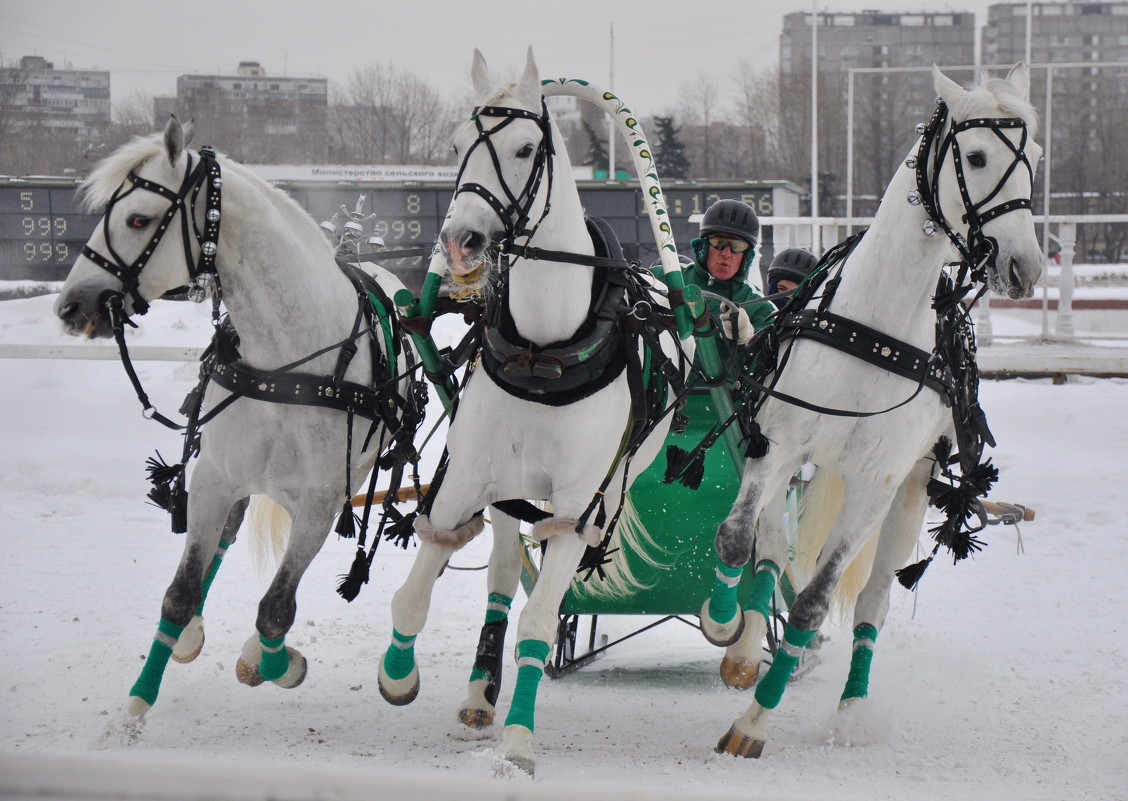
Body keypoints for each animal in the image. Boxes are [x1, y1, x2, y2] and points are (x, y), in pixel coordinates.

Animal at [54, 116, 421, 735]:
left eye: (137, 219)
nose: (70, 306)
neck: (285, 367)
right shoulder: (213, 481)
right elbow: (179, 593)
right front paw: (137, 702)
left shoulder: (320, 503)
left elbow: (275, 611)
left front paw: (276, 663)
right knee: (222, 538)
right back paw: (189, 636)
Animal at [376, 50, 685, 776]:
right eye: (454, 146)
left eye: (523, 148)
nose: (461, 241)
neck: (545, 348)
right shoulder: (465, 478)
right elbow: (416, 588)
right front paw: (398, 673)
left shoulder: (578, 504)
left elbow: (541, 622)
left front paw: (518, 738)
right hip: (506, 489)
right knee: (501, 569)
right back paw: (479, 690)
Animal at [699, 67, 1042, 758]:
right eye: (976, 156)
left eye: (1036, 160)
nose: (1026, 266)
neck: (874, 330)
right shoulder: (777, 442)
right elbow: (736, 538)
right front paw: (723, 628)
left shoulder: (877, 485)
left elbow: (812, 605)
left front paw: (754, 723)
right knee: (770, 548)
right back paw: (745, 646)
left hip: (908, 493)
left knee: (872, 603)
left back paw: (852, 711)